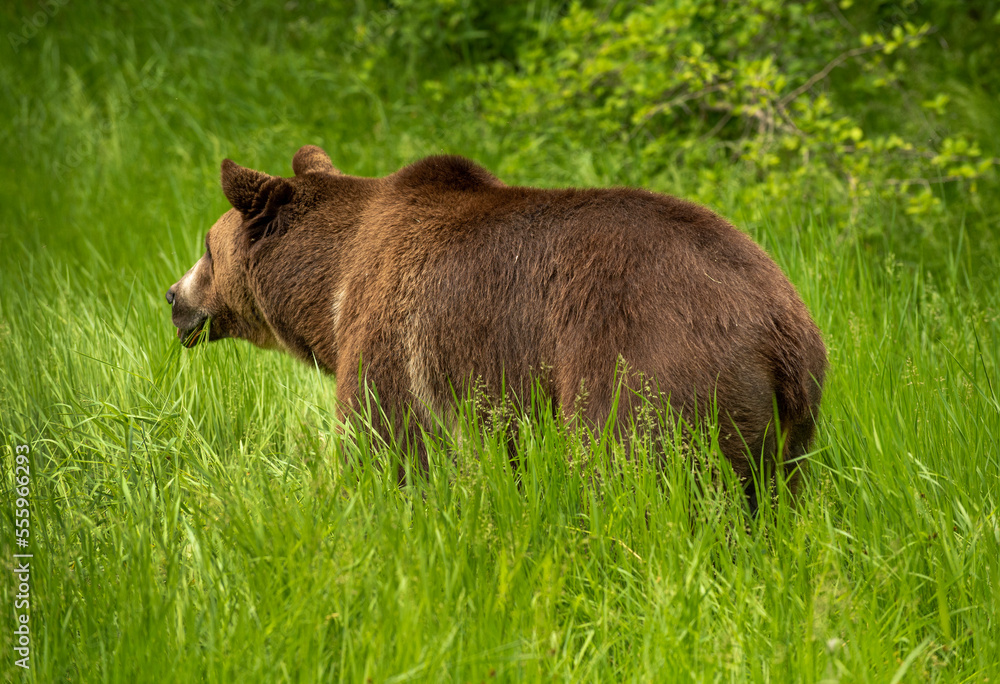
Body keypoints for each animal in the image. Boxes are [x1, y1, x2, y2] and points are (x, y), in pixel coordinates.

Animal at [166, 144, 828, 508]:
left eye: (206, 247)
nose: (173, 297)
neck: (331, 290)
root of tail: (784, 330)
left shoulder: (393, 341)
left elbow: (386, 446)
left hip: (647, 363)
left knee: (633, 473)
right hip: (788, 428)